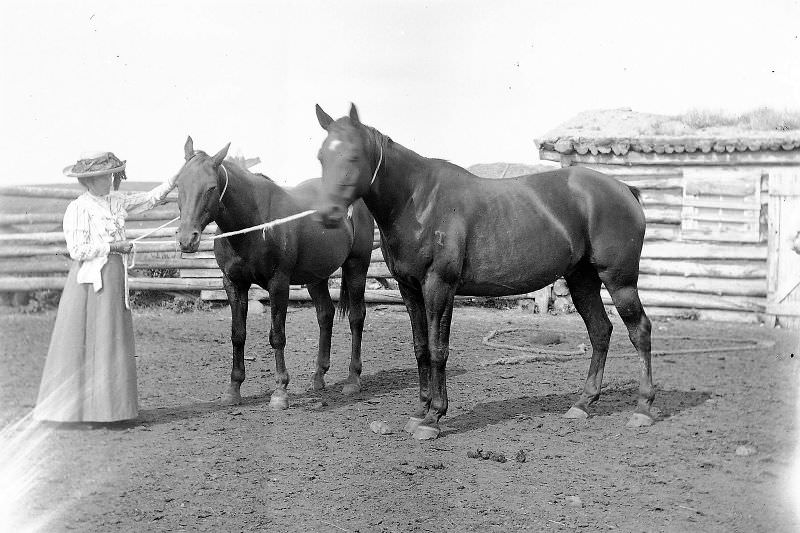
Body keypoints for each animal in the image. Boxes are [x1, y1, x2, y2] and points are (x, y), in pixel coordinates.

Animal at [175, 137, 376, 408]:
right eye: (178, 185)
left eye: (210, 187)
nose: (187, 239)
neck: (253, 226)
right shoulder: (234, 284)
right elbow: (238, 334)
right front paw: (233, 389)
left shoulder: (278, 284)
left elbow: (277, 335)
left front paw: (280, 391)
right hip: (316, 277)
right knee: (325, 315)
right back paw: (318, 376)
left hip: (357, 266)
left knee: (356, 317)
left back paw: (353, 379)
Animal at [314, 105, 656, 440]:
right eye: (321, 156)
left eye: (353, 156)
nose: (327, 214)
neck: (418, 201)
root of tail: (624, 189)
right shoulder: (409, 288)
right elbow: (421, 347)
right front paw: (420, 410)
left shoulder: (440, 286)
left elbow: (438, 349)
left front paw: (433, 417)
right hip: (582, 279)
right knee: (600, 331)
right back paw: (583, 404)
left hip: (619, 281)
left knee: (639, 330)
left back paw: (642, 409)